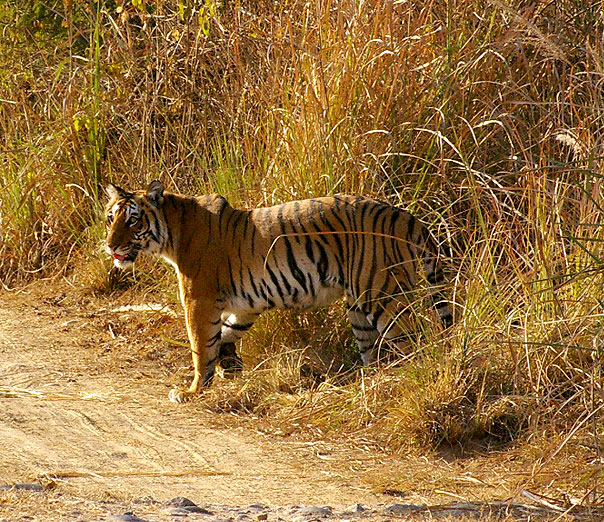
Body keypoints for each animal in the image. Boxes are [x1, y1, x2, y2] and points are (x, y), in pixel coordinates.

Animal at [105, 180, 452, 402]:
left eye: (133, 221)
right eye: (110, 218)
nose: (110, 246)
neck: (172, 231)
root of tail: (404, 216)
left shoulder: (198, 300)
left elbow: (200, 347)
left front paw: (193, 391)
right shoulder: (246, 304)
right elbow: (226, 333)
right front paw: (229, 365)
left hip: (380, 293)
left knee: (411, 343)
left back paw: (396, 385)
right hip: (358, 306)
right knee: (373, 353)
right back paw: (365, 387)